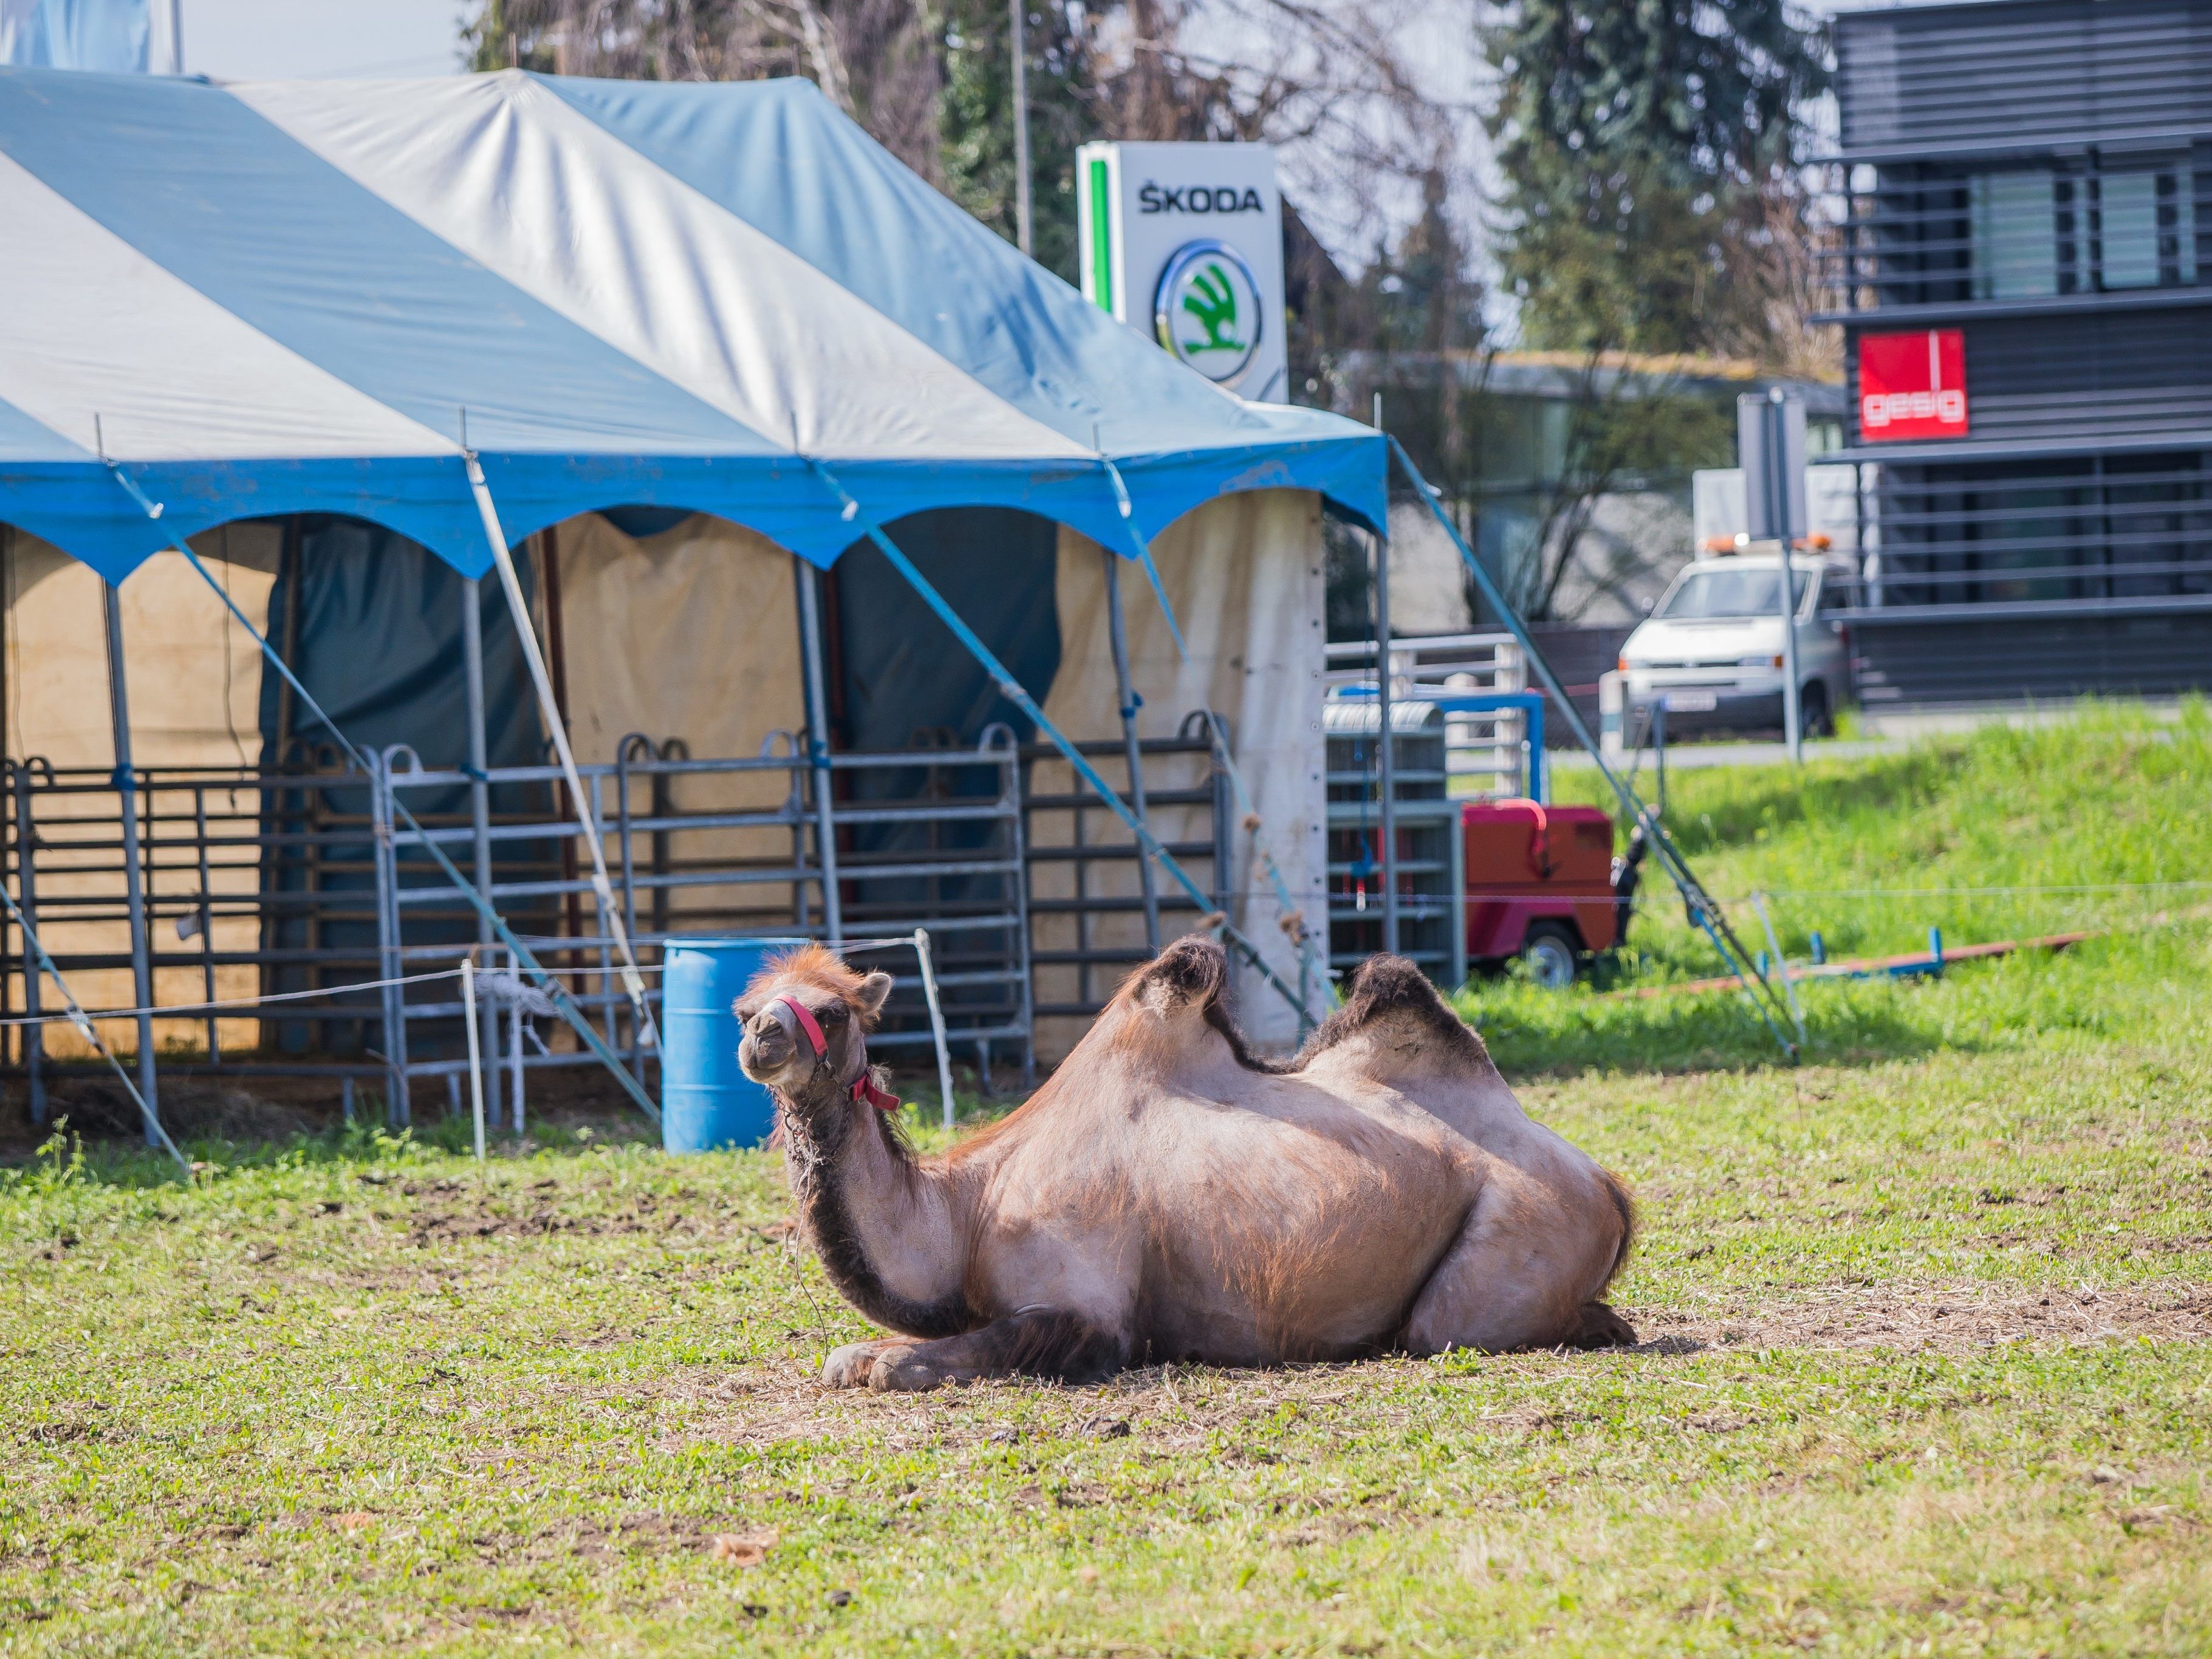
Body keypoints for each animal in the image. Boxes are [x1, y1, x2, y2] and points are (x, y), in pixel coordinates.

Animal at [734, 942, 1637, 1398]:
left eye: (831, 1010)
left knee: (1448, 1325)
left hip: (1512, 1235)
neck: (971, 1207)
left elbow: (939, 1352)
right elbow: (858, 1353)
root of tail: (1606, 1183)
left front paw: (880, 1362)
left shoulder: (1091, 1308)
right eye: (745, 1006)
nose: (760, 1038)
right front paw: (855, 1355)